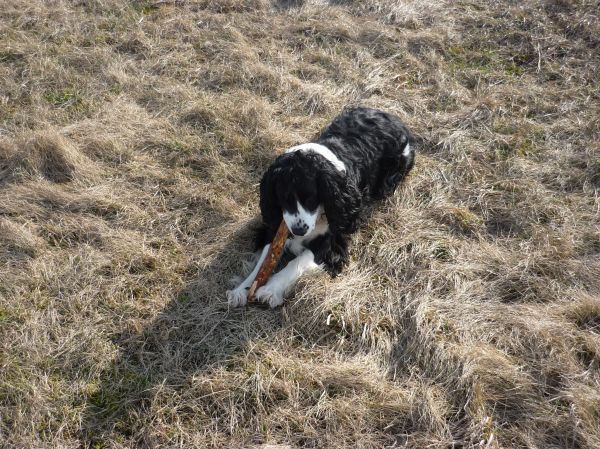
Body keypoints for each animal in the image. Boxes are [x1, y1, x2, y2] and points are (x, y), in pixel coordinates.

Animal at [225, 105, 412, 308]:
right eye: (282, 198)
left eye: (311, 198)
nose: (299, 231)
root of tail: (394, 118)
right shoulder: (276, 227)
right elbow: (265, 260)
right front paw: (242, 289)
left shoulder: (332, 242)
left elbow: (297, 262)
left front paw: (271, 290)